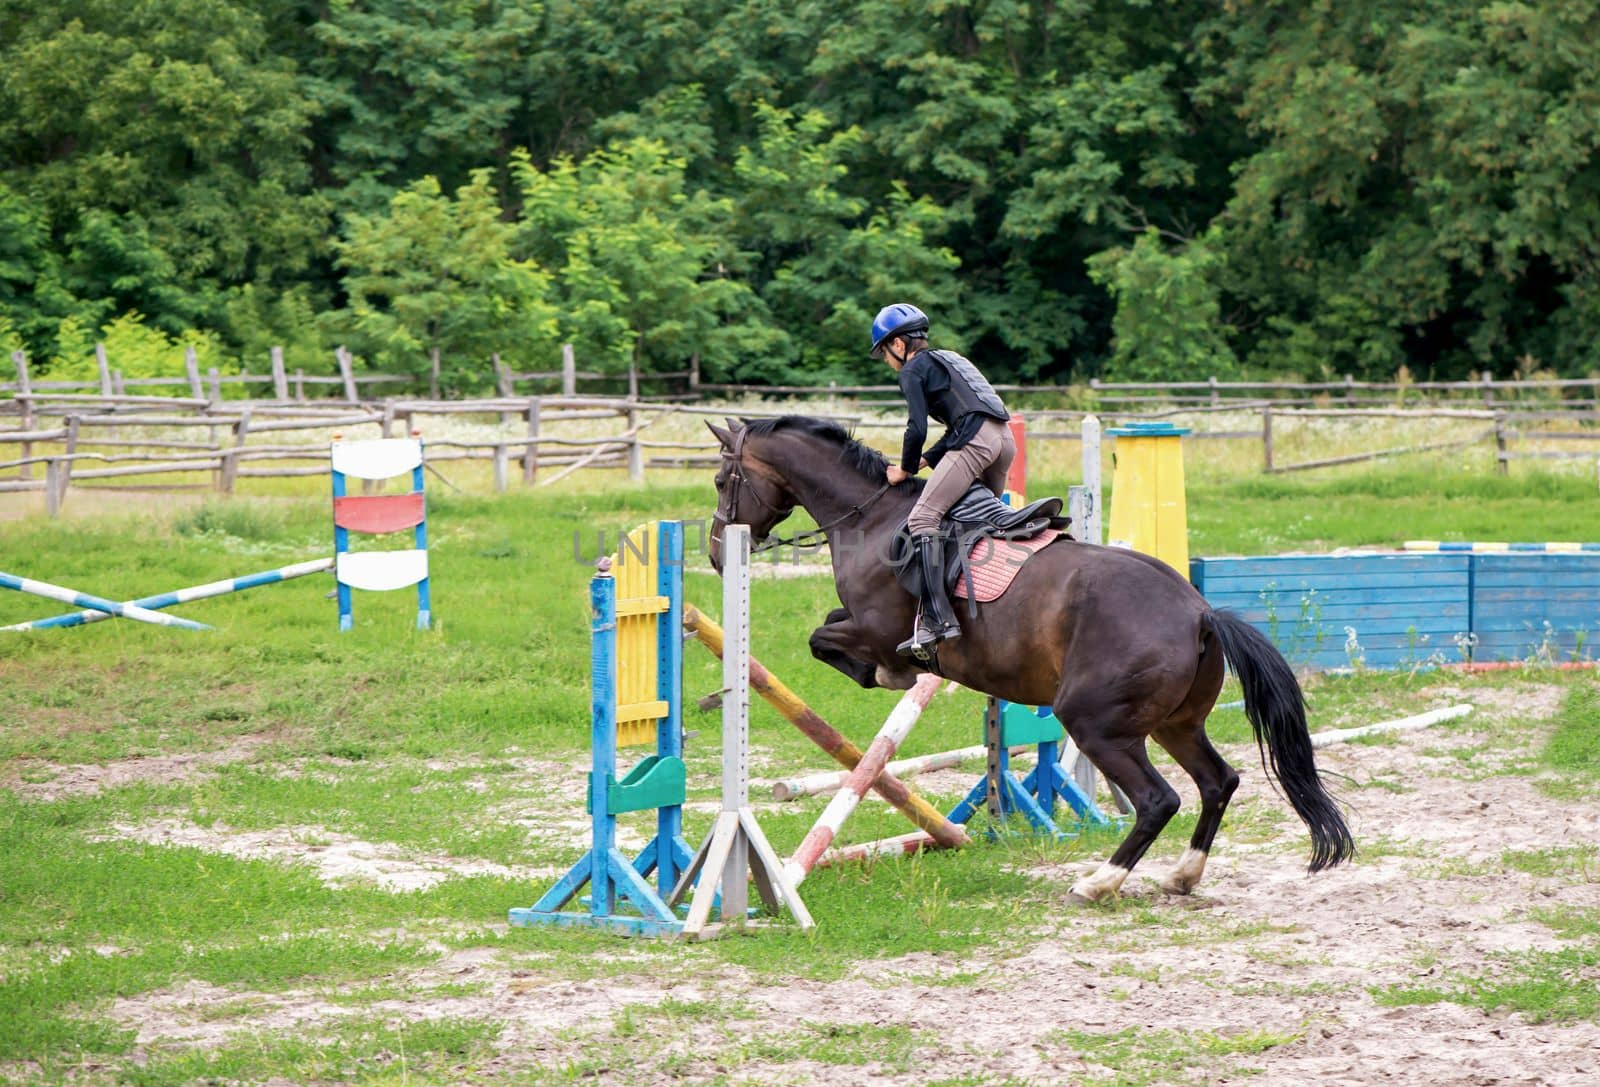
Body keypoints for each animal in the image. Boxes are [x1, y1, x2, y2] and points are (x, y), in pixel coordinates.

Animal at [713, 413, 1350, 902]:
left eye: (722, 479)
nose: (720, 556)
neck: (870, 517)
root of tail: (1199, 612)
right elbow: (824, 631)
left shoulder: (873, 626)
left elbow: (825, 639)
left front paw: (892, 672)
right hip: (1176, 724)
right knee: (1218, 782)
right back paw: (1182, 876)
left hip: (1096, 723)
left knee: (1158, 800)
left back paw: (1098, 883)